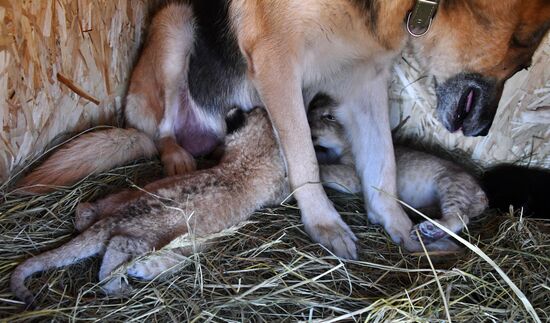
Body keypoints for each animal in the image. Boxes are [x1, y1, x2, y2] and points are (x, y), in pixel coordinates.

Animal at [19, 0, 550, 258]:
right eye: (524, 52)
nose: (482, 133)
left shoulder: (367, 77)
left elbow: (382, 163)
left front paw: (396, 223)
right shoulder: (277, 61)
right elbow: (304, 160)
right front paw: (324, 223)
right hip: (175, 27)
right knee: (160, 130)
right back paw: (175, 155)